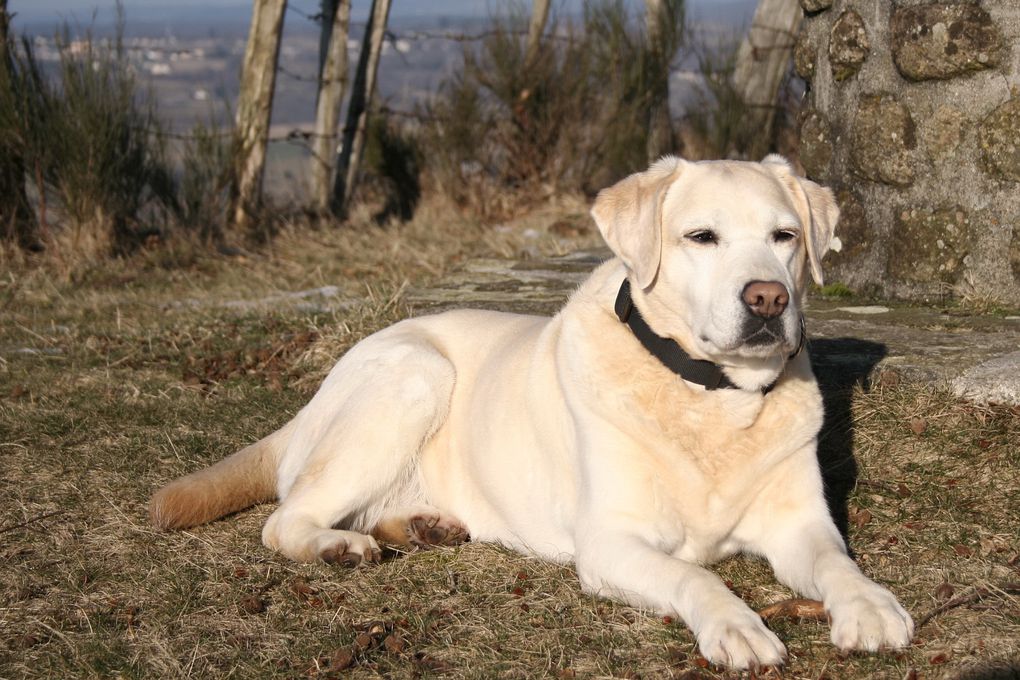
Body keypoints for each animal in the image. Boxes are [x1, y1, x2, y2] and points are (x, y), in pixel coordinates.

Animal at [153, 155, 918, 668]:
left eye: (786, 236)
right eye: (702, 237)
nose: (767, 298)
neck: (712, 394)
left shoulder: (799, 524)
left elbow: (838, 563)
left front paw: (870, 604)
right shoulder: (610, 543)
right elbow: (694, 573)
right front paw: (736, 624)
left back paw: (422, 526)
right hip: (415, 374)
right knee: (285, 518)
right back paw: (336, 545)